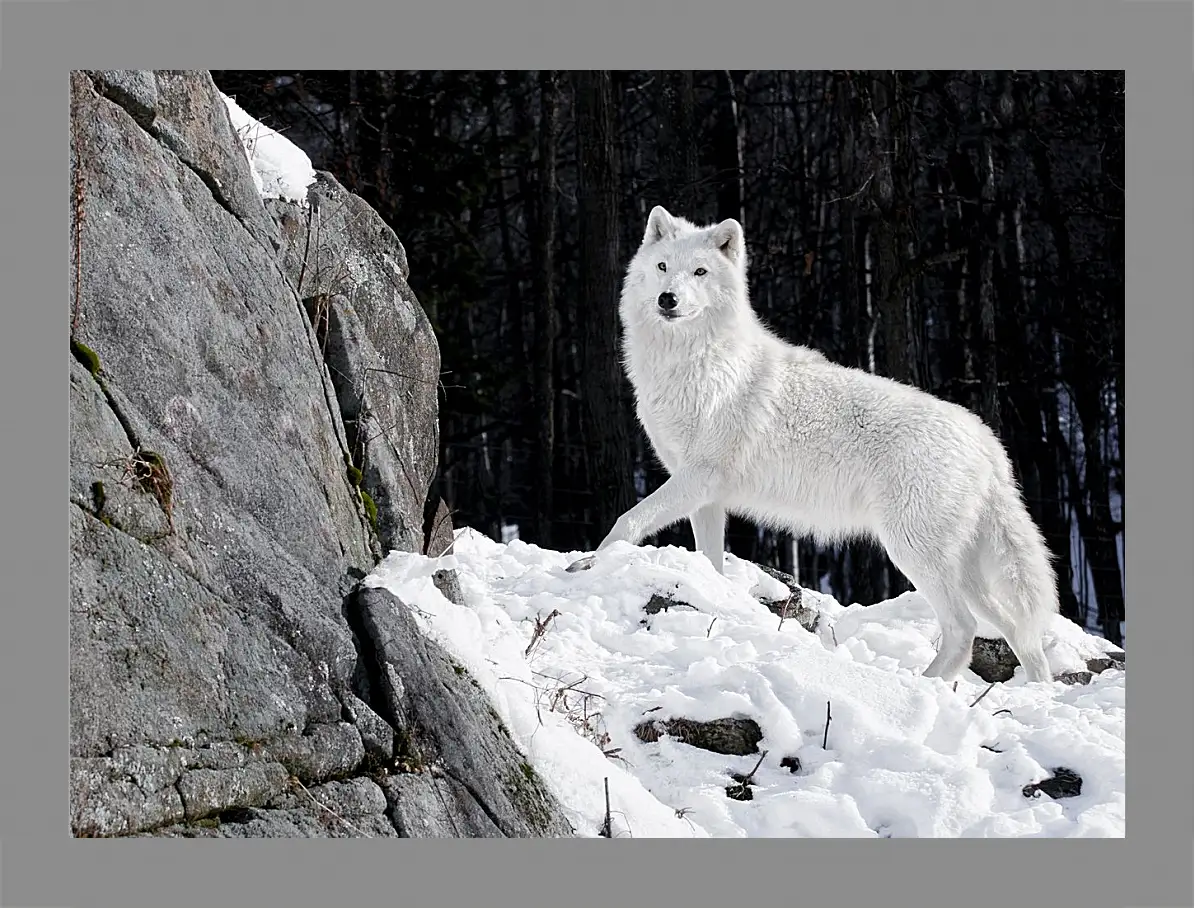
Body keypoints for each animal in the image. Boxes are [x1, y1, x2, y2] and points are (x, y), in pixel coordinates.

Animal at [578, 209, 1056, 683]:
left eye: (700, 272)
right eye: (663, 267)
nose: (668, 299)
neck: (693, 363)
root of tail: (986, 439)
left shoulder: (698, 477)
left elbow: (626, 522)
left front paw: (587, 566)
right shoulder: (704, 496)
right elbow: (709, 561)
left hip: (912, 551)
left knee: (964, 629)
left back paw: (917, 685)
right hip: (962, 570)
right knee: (1018, 632)